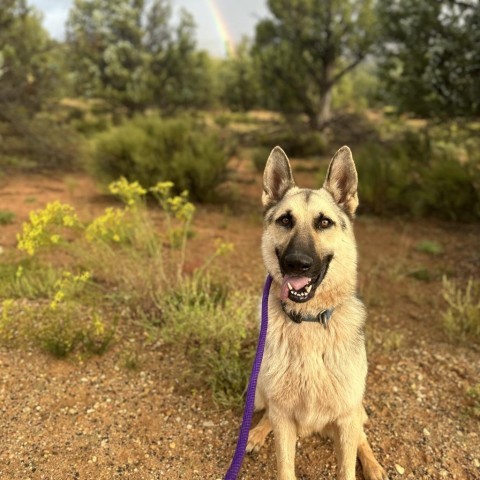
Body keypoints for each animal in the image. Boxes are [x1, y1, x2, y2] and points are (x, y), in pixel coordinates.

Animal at [248, 147, 386, 480]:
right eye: (285, 220)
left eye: (324, 223)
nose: (297, 264)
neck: (308, 320)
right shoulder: (283, 415)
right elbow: (284, 465)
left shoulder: (346, 417)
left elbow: (347, 467)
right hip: (261, 391)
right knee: (266, 414)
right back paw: (255, 433)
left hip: (354, 410)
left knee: (363, 439)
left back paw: (374, 466)